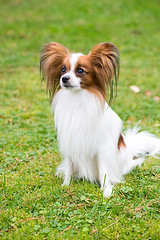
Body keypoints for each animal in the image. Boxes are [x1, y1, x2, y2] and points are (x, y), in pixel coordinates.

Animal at [40, 42, 160, 197]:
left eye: (80, 70)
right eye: (62, 69)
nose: (64, 78)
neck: (77, 99)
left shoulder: (102, 148)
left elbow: (104, 171)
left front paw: (106, 191)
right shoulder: (70, 142)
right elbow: (69, 167)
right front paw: (66, 185)